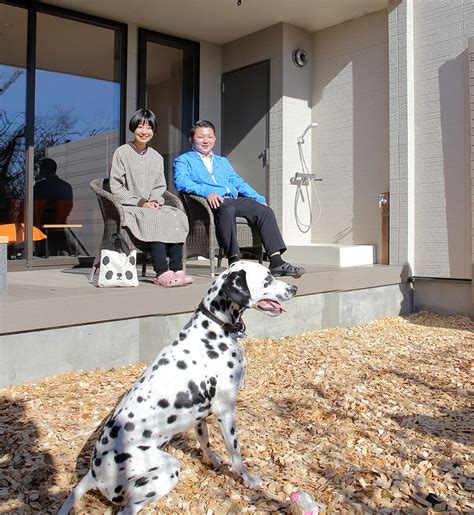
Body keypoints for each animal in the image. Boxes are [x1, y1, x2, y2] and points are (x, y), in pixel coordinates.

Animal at [59, 264, 296, 512]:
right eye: (268, 279)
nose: (294, 288)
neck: (213, 329)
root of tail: (94, 475)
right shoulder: (225, 410)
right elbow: (235, 454)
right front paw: (248, 479)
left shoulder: (201, 415)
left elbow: (204, 441)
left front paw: (211, 460)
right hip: (168, 469)